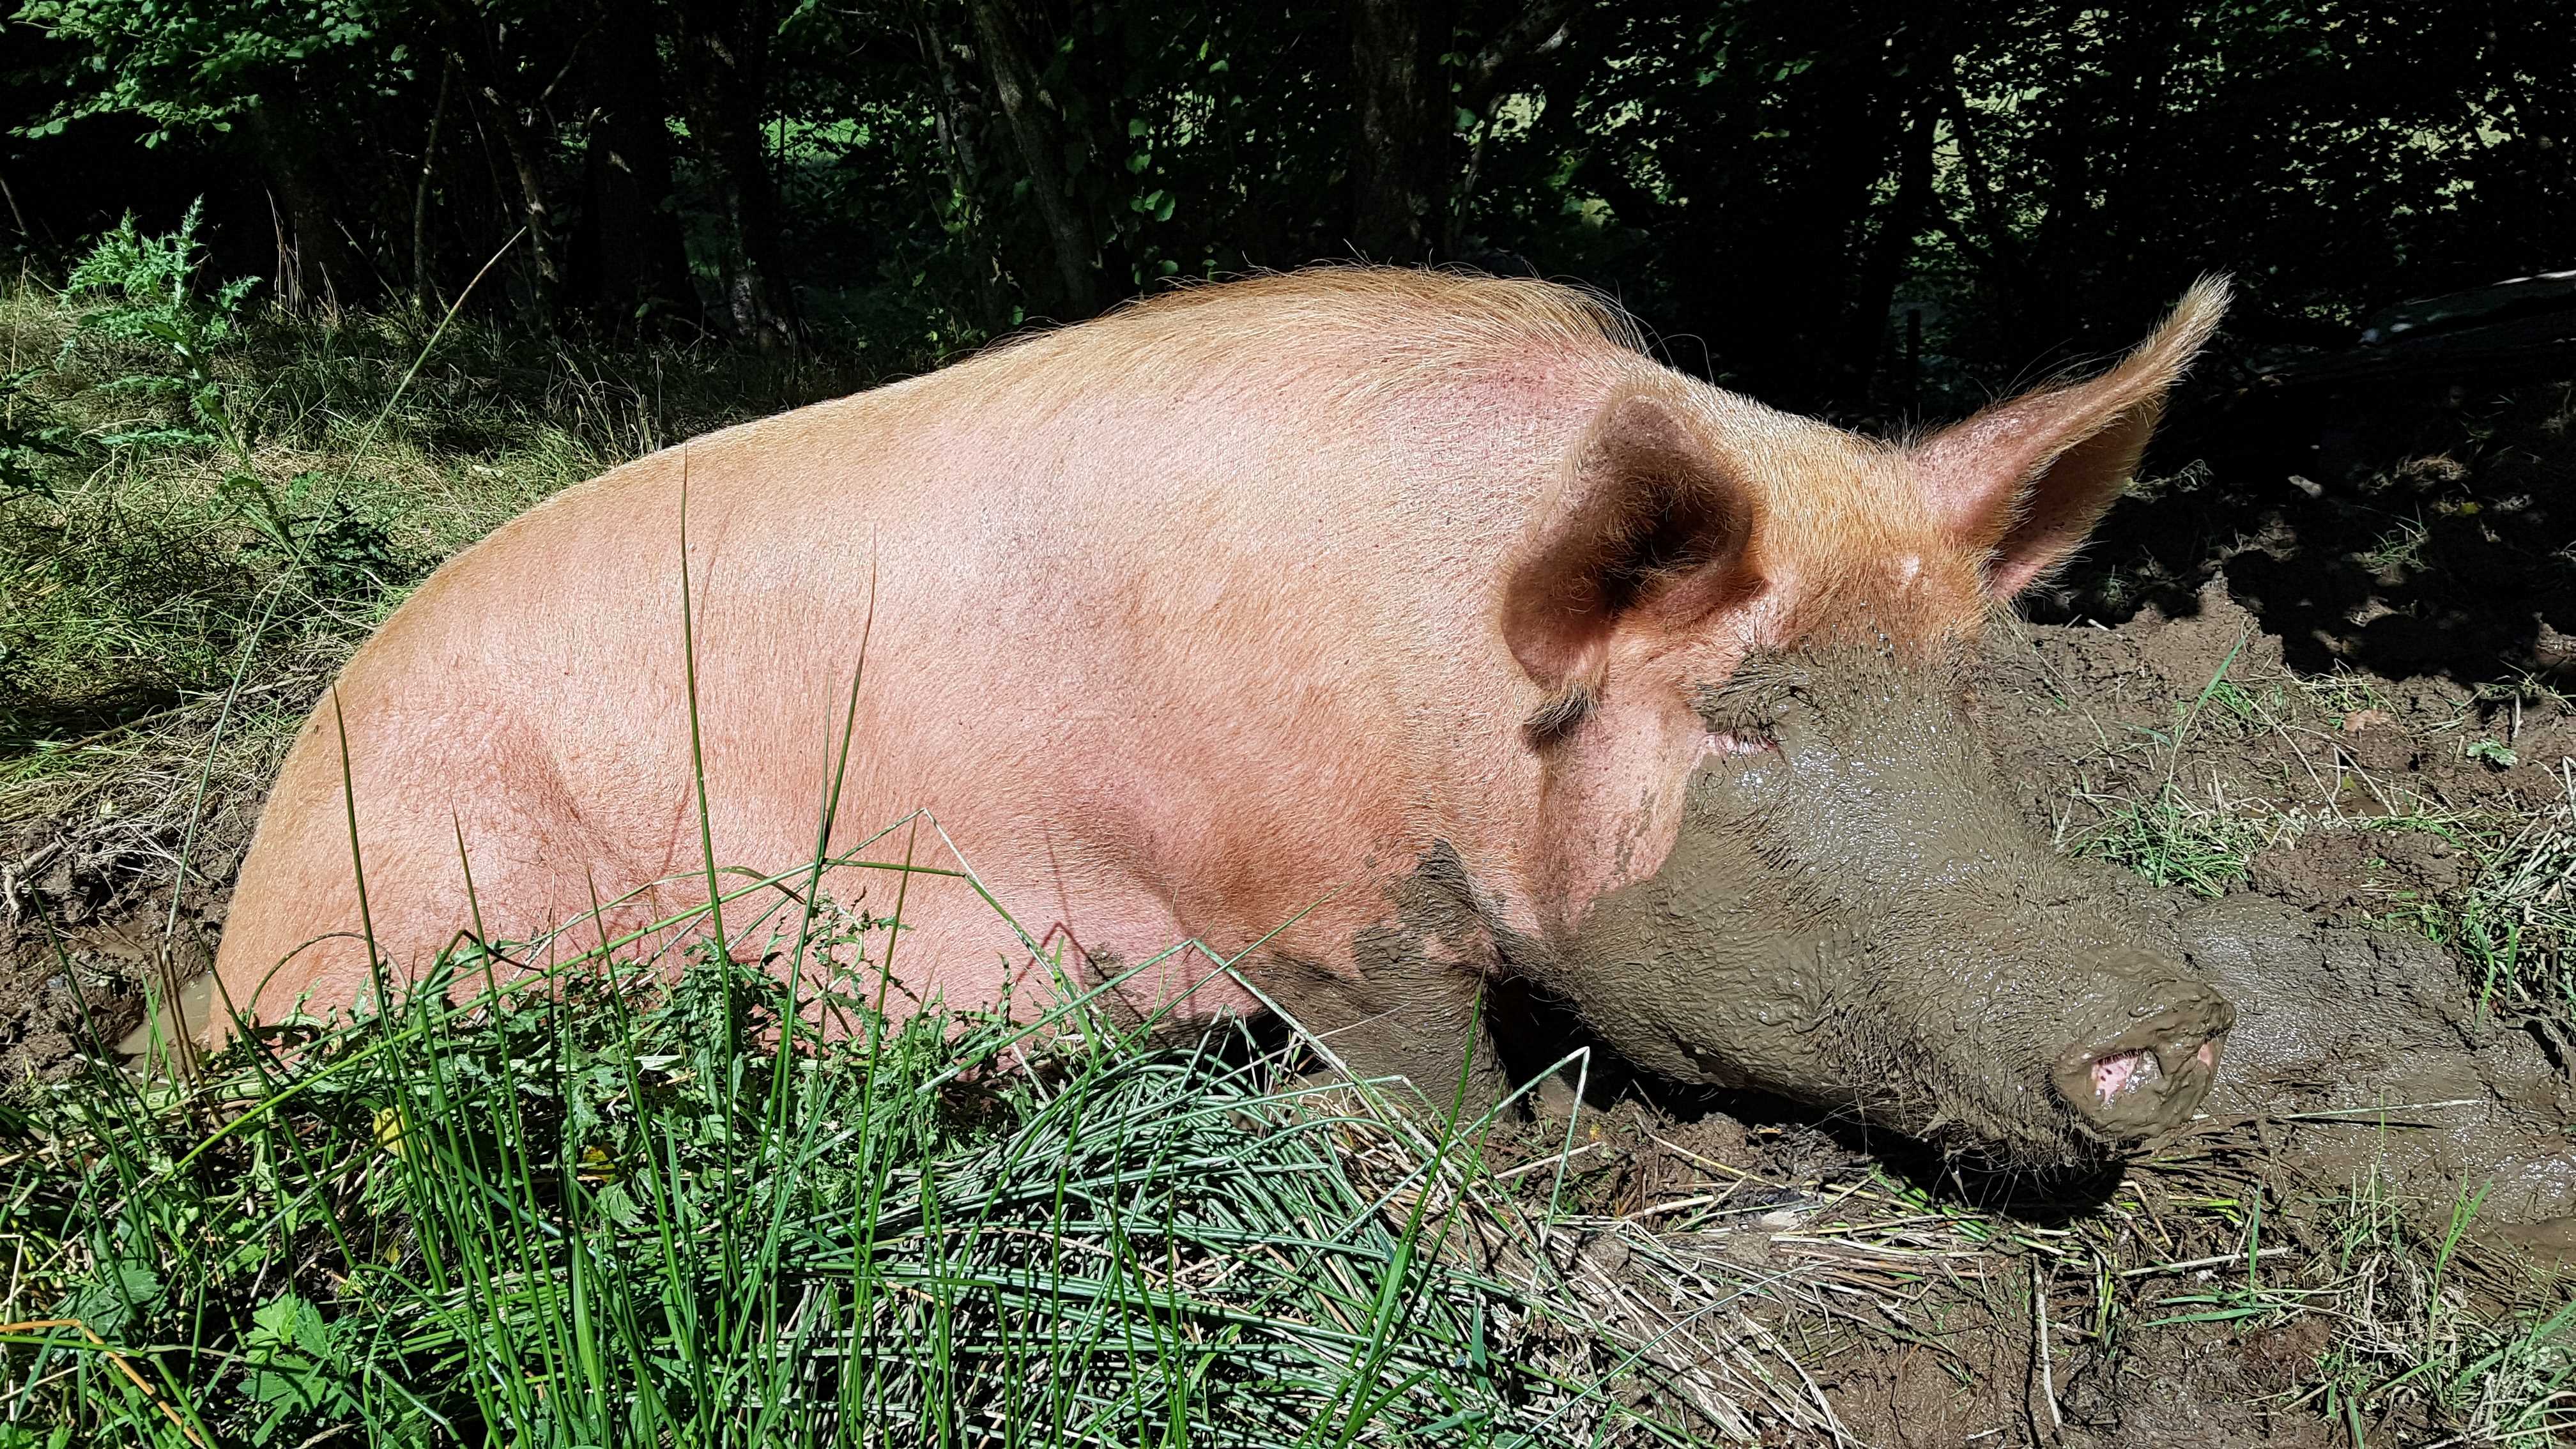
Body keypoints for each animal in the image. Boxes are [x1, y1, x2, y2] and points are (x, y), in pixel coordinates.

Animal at [212, 268, 2234, 1165]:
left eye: (1966, 702)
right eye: (1749, 722)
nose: (2181, 1020)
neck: (1452, 675)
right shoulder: (1304, 900)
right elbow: (1432, 1077)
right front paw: (1545, 1176)